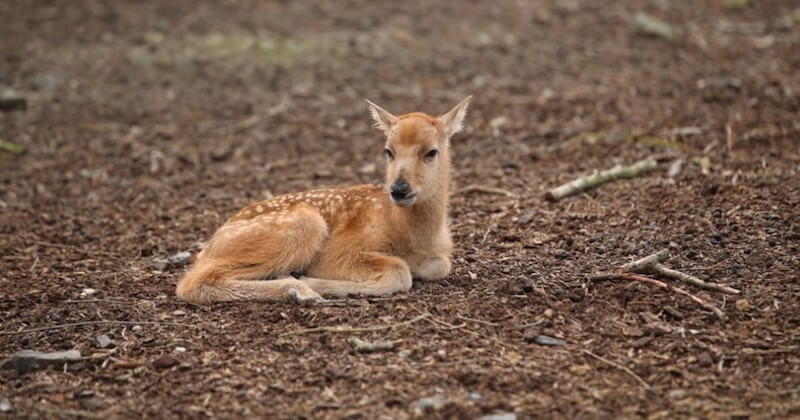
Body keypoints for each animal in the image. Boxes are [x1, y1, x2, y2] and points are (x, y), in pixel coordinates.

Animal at [177, 97, 468, 304]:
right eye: (388, 151)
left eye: (431, 152)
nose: (398, 189)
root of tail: (210, 245)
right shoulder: (339, 252)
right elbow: (399, 271)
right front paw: (314, 281)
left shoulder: (440, 255)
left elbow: (438, 266)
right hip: (302, 225)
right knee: (192, 283)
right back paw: (299, 290)